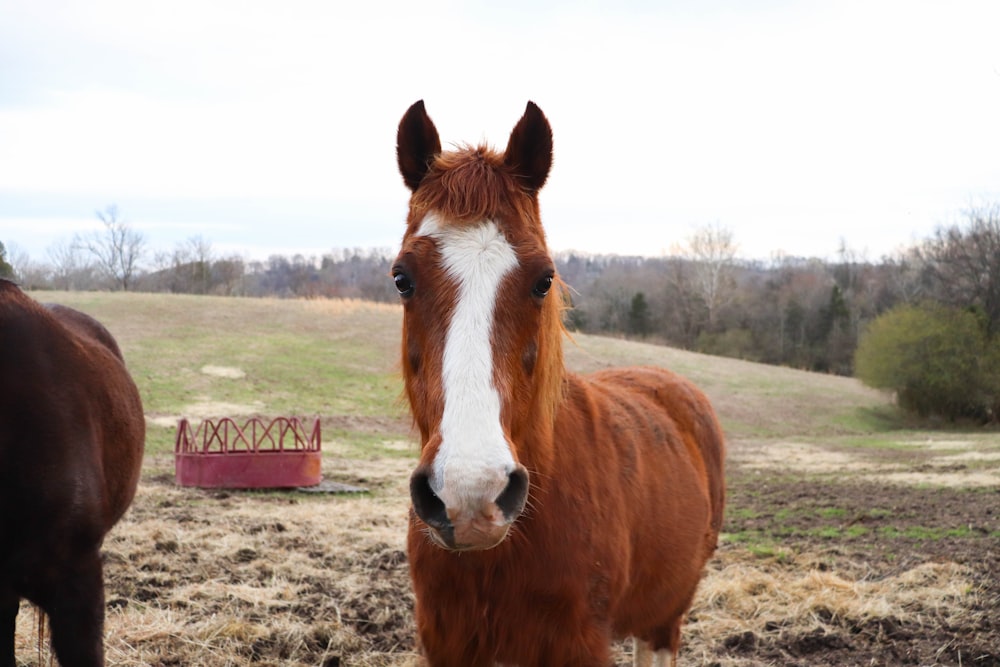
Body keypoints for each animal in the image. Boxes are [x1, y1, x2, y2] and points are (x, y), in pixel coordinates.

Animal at [392, 100, 728, 667]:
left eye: (543, 279)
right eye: (401, 279)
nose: (471, 493)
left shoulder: (577, 644)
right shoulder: (446, 644)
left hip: (667, 615)